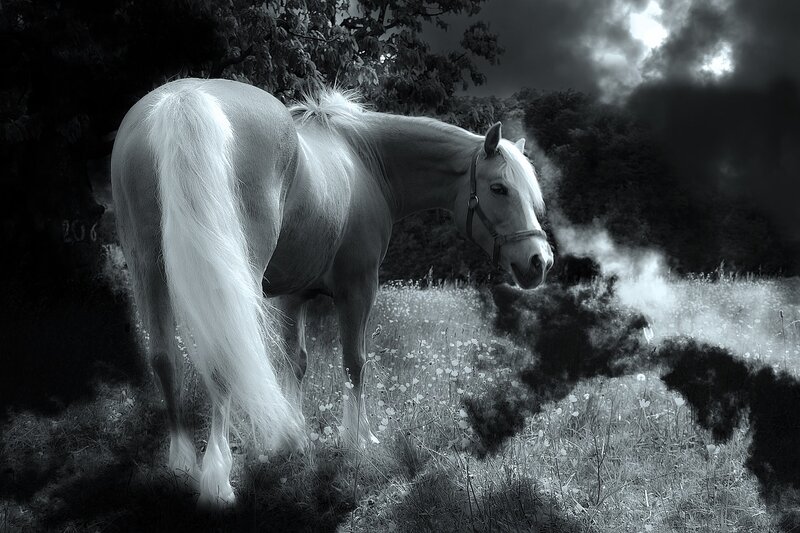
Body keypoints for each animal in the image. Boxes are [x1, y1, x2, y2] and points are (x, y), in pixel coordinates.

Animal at [110, 78, 553, 507]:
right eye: (499, 188)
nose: (540, 261)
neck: (366, 160)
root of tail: (184, 99)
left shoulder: (290, 296)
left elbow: (296, 361)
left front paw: (291, 437)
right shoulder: (357, 288)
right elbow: (355, 362)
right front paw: (358, 440)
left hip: (149, 268)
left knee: (164, 359)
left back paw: (182, 463)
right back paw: (217, 478)